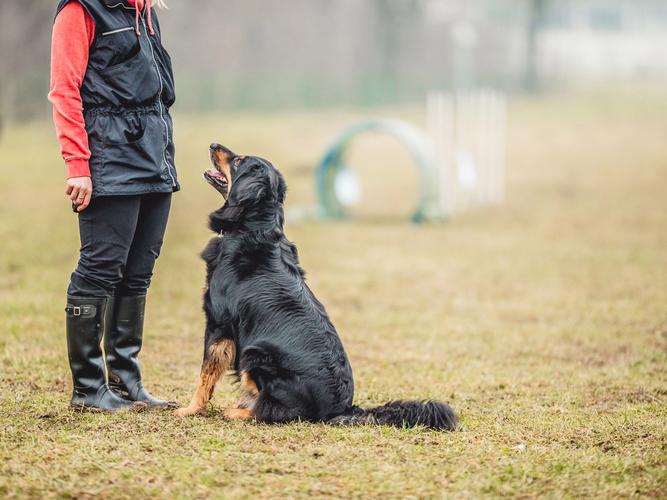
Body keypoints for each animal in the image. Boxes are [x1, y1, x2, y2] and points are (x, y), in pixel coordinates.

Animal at [174, 144, 460, 430]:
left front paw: (190, 410)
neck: (253, 227)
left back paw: (239, 412)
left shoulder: (218, 324)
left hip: (255, 354)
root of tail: (341, 408)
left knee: (276, 411)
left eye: (238, 161)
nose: (213, 145)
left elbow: (205, 375)